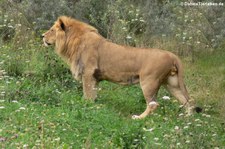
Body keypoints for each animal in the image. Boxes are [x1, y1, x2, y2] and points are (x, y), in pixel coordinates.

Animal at [41, 16, 200, 118]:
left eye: (52, 30)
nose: (42, 36)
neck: (74, 40)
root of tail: (172, 55)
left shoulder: (88, 73)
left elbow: (87, 94)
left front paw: (85, 107)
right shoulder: (94, 77)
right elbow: (93, 94)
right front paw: (94, 106)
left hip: (149, 82)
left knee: (154, 104)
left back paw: (139, 118)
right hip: (172, 84)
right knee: (189, 101)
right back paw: (188, 120)